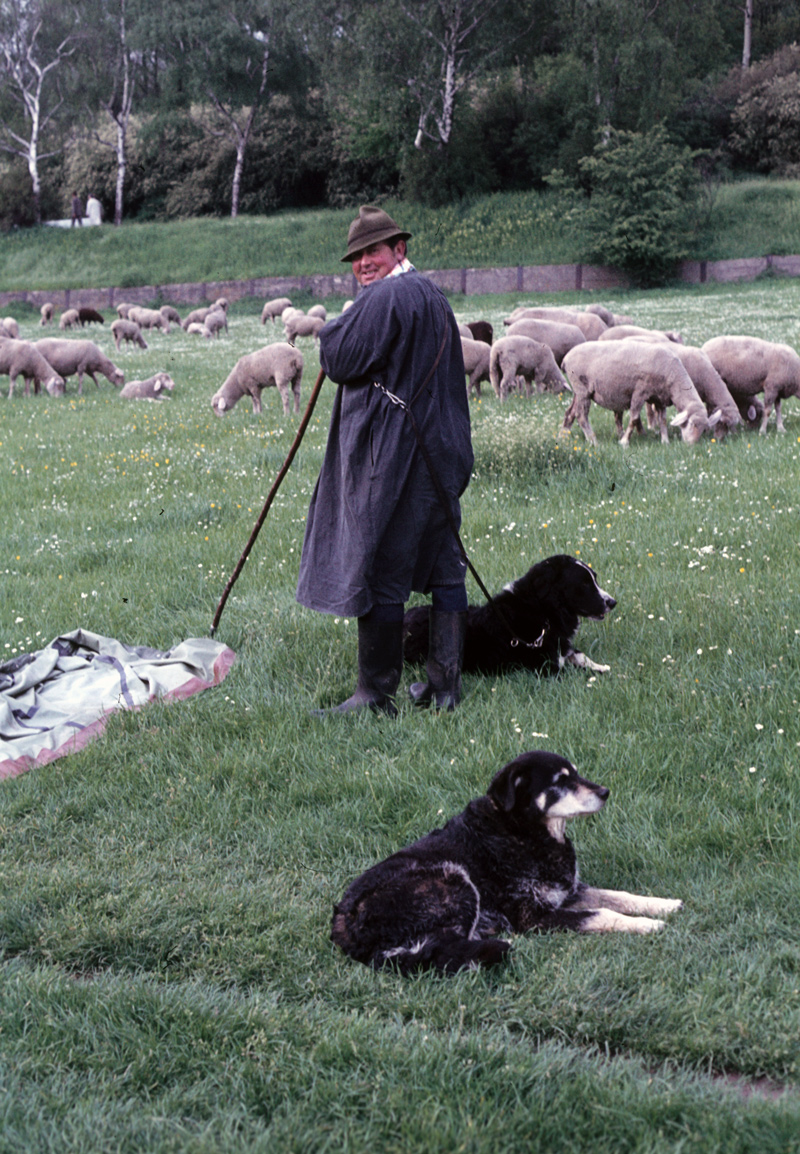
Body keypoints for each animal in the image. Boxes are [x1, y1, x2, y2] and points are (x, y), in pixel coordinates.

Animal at [330, 747, 678, 973]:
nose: (605, 792)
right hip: (453, 879)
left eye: (577, 774)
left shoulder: (567, 892)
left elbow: (619, 896)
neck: (524, 832)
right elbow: (602, 913)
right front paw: (647, 924)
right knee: (441, 950)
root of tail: (343, 929)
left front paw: (664, 904)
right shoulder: (533, 915)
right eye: (560, 781)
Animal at [401, 551, 614, 673]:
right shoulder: (546, 666)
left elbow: (581, 656)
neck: (543, 610)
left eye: (594, 579)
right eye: (584, 584)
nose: (613, 602)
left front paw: (605, 668)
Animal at [558, 336, 715, 445]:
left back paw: (563, 437)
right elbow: (633, 418)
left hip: (578, 392)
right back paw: (593, 441)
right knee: (581, 415)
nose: (691, 445)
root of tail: (566, 358)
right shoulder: (640, 391)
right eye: (692, 424)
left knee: (569, 413)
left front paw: (665, 441)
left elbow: (663, 420)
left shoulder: (660, 397)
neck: (672, 377)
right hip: (582, 389)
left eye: (704, 429)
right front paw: (624, 442)